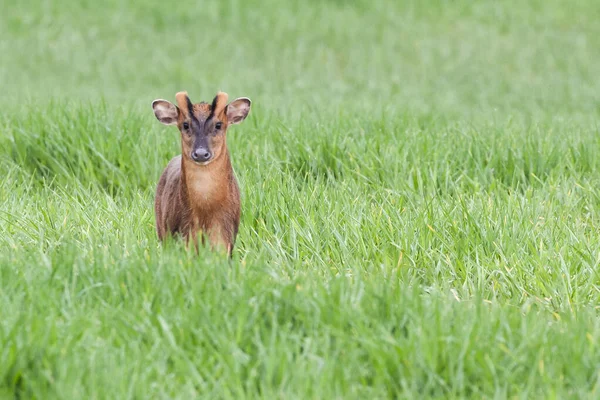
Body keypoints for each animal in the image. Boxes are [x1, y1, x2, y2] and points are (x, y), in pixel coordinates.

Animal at [152, 91, 253, 256]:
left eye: (218, 125)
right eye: (185, 125)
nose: (200, 153)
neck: (206, 211)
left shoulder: (226, 233)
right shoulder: (184, 231)